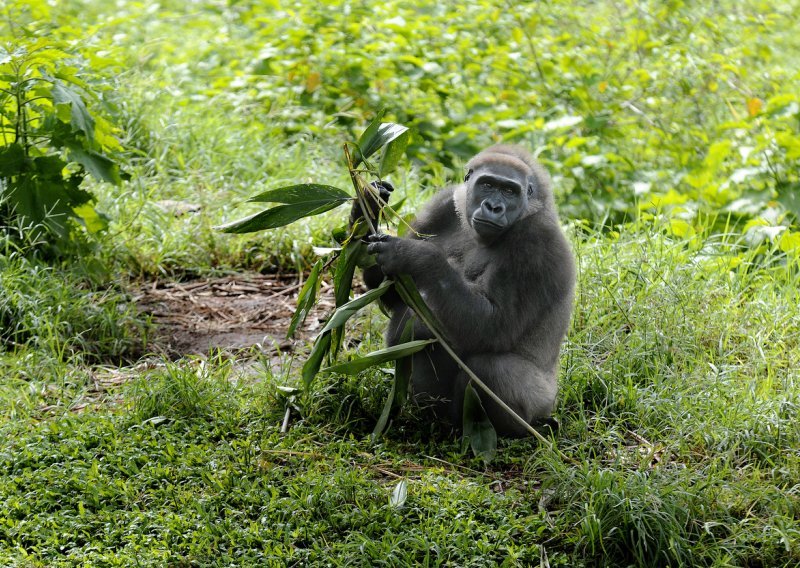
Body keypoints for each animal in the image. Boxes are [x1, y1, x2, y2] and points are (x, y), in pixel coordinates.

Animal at [360, 144, 572, 438]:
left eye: (510, 191)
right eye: (487, 184)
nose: (493, 207)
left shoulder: (536, 239)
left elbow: (494, 326)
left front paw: (415, 256)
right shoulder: (443, 203)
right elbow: (392, 291)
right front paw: (365, 206)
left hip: (543, 401)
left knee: (491, 370)